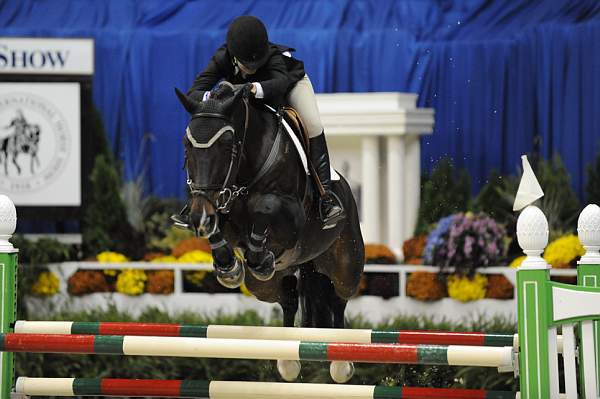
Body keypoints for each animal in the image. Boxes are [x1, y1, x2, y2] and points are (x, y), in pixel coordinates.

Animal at [175, 82, 366, 384]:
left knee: (338, 298)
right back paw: (288, 361)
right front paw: (229, 267)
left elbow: (265, 208)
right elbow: (218, 226)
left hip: (346, 265)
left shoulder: (292, 219)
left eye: (227, 144)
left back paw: (341, 363)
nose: (200, 209)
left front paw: (255, 252)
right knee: (288, 298)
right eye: (186, 144)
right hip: (263, 285)